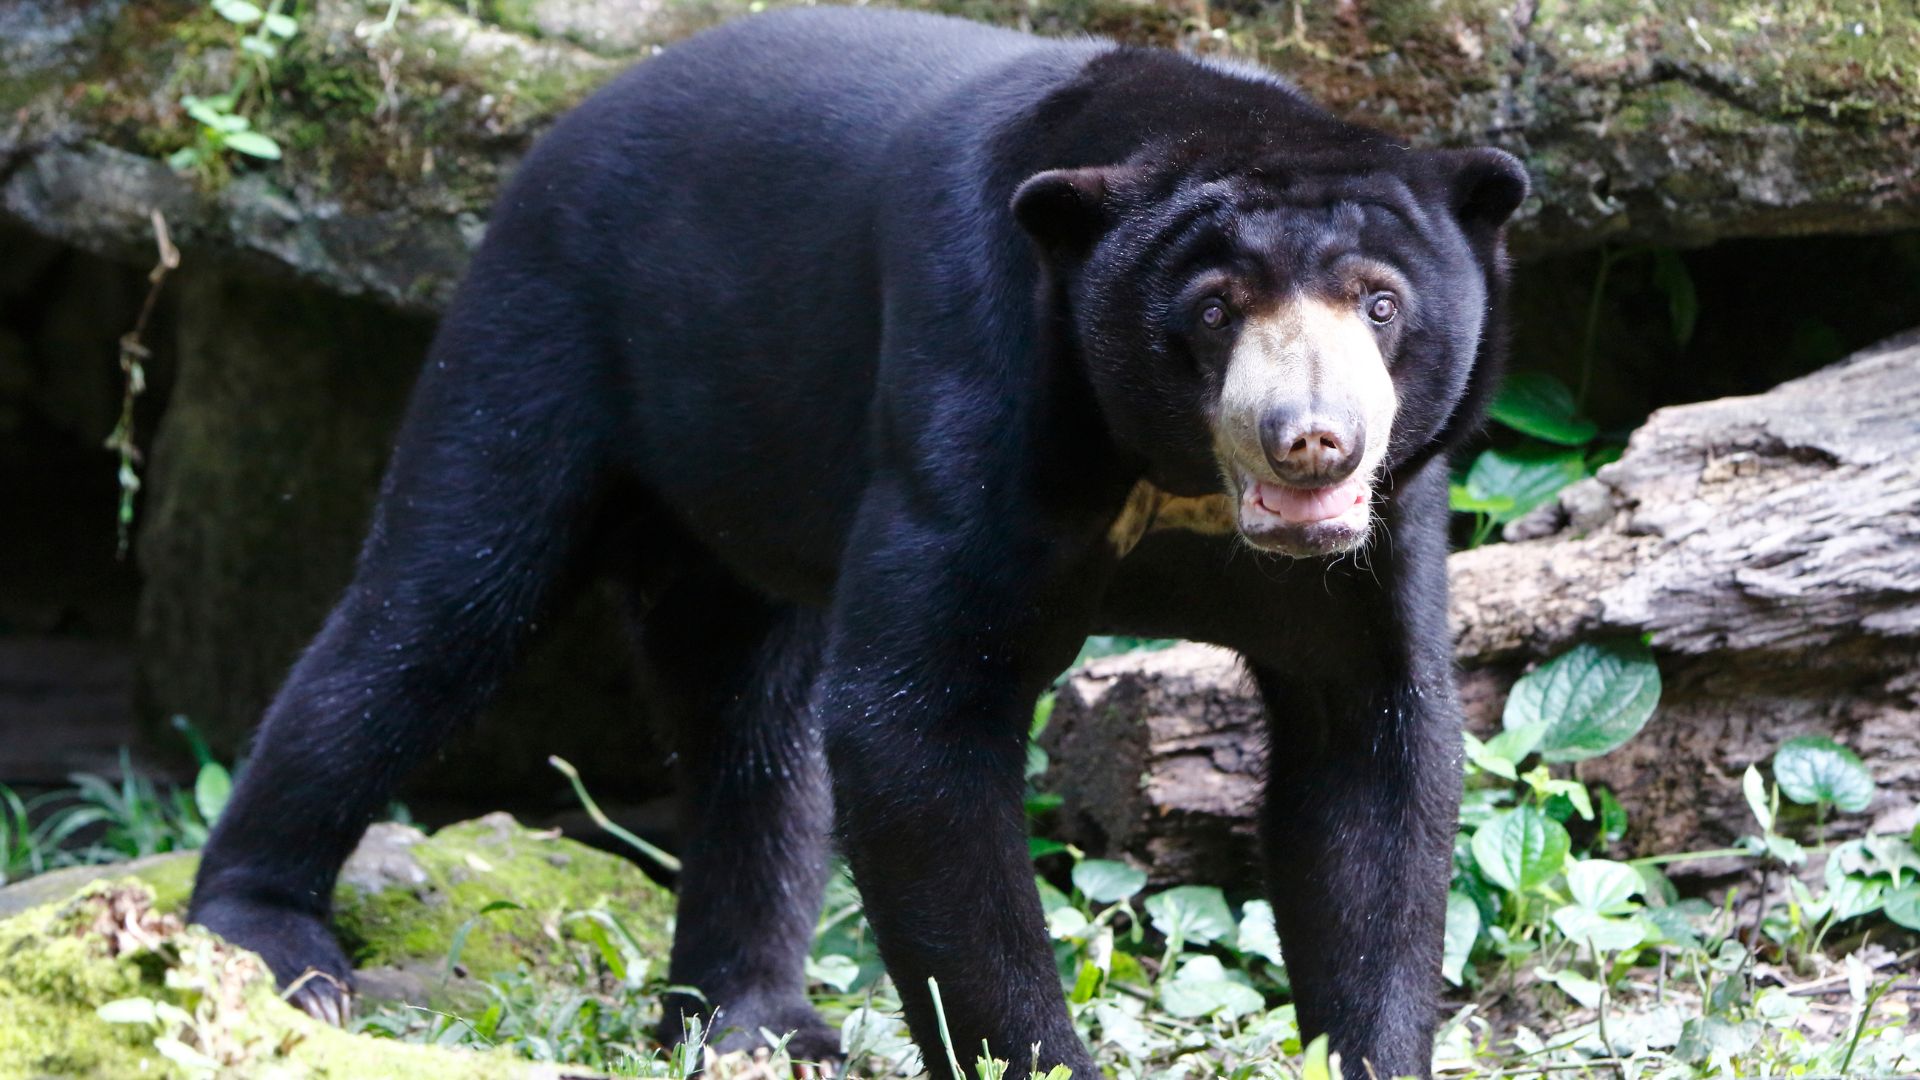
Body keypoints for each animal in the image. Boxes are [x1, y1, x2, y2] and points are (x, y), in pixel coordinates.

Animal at [186, 7, 1527, 1078]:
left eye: (1380, 301)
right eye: (1212, 310)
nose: (1313, 444)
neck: (1169, 478)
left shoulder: (1384, 533)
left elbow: (1371, 749)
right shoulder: (977, 398)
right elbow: (912, 722)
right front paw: (1034, 1058)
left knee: (750, 723)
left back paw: (753, 1021)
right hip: (539, 334)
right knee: (435, 614)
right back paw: (268, 940)